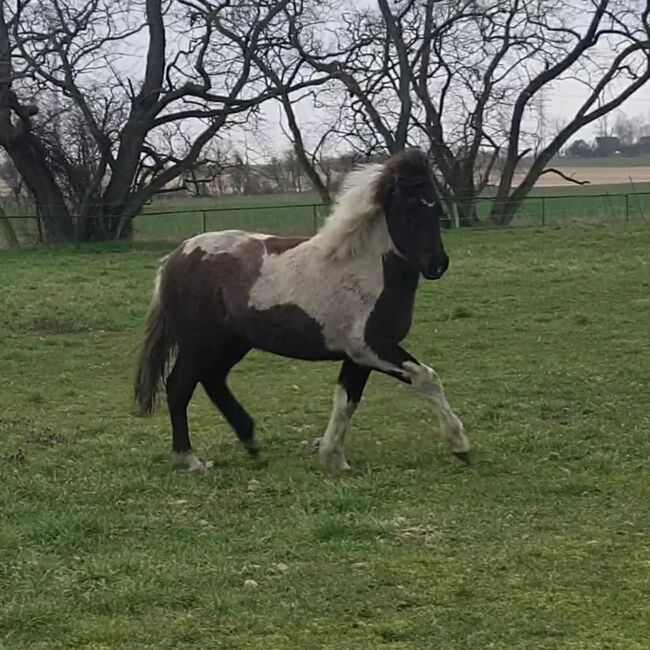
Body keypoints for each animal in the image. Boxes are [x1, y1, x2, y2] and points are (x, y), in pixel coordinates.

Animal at [134, 150, 468, 474]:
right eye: (410, 209)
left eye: (436, 208)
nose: (437, 264)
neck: (365, 269)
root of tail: (175, 257)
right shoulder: (372, 347)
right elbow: (426, 378)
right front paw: (460, 447)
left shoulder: (358, 356)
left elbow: (345, 402)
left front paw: (334, 459)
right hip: (198, 344)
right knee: (178, 387)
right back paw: (189, 460)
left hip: (231, 343)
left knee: (213, 380)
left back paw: (251, 442)